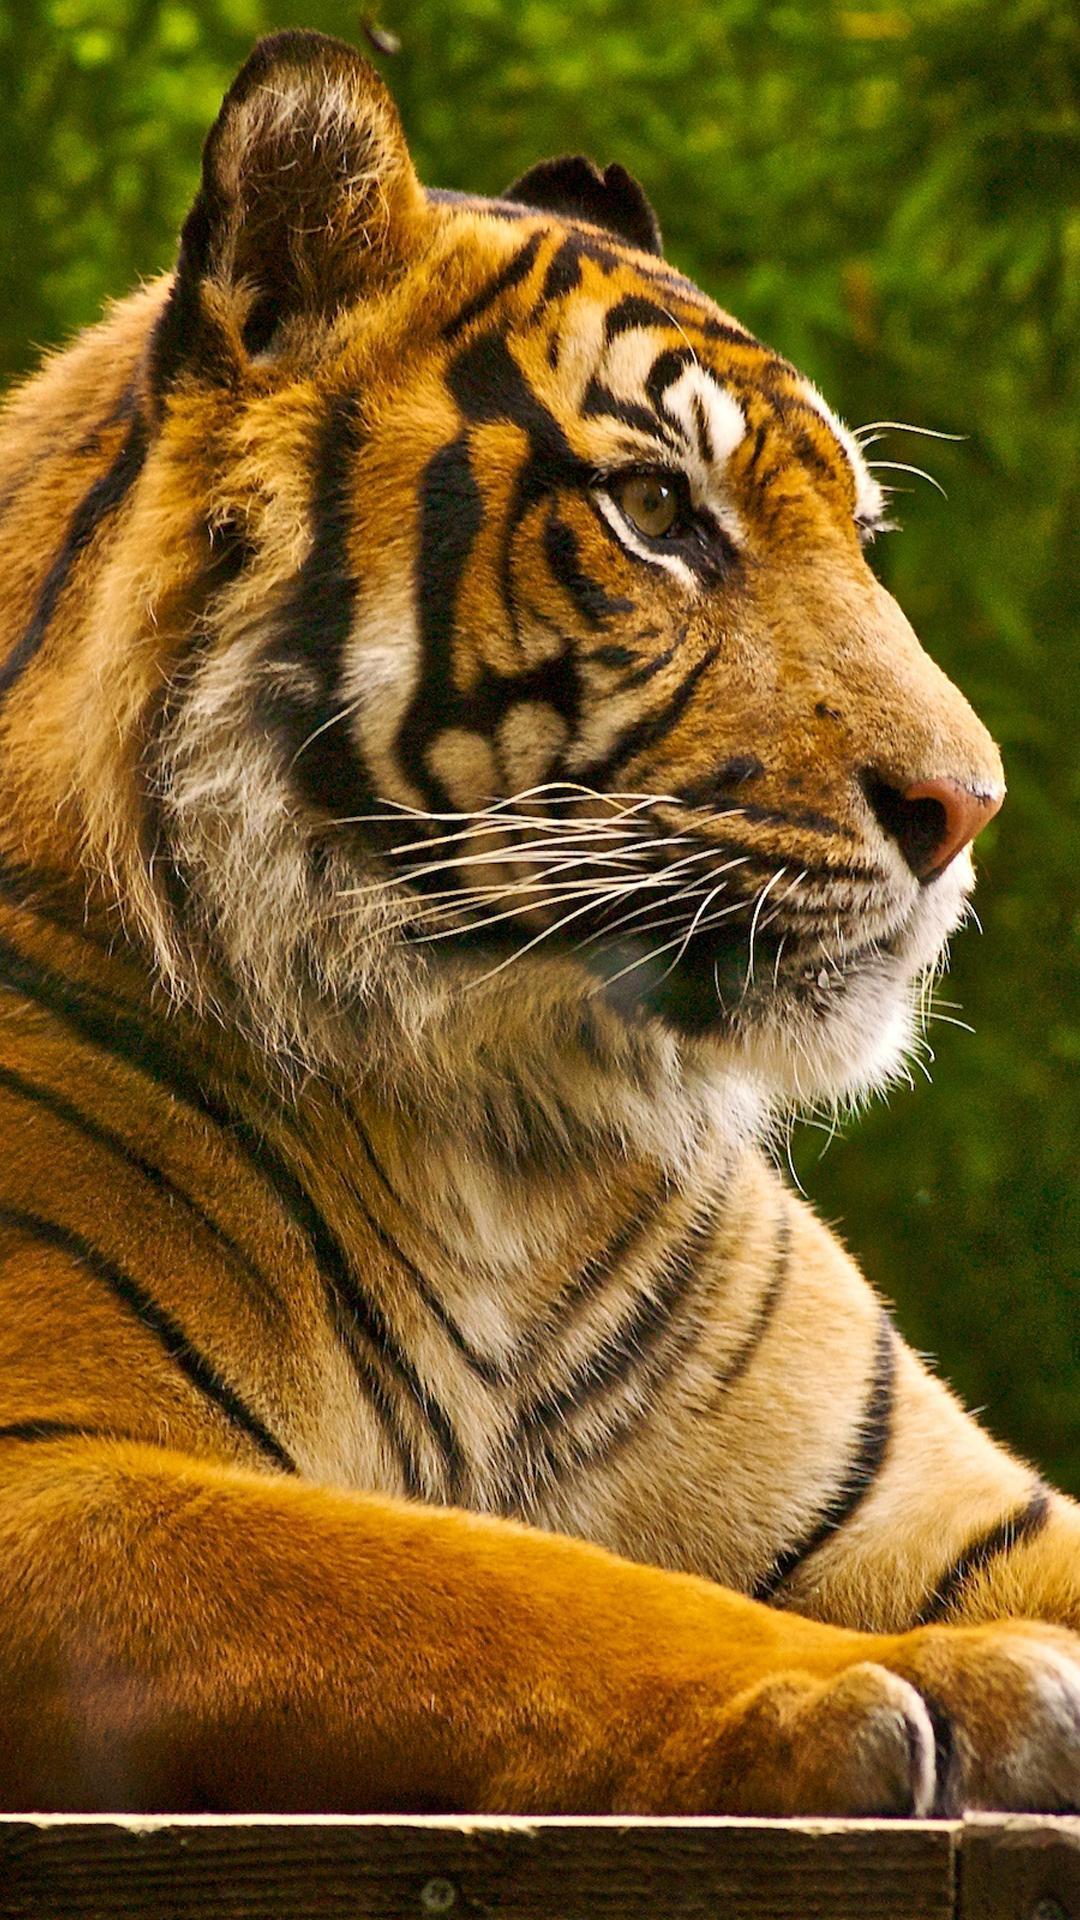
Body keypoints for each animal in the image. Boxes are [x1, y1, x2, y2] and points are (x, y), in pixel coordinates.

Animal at [0, 27, 1076, 1818]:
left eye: (859, 538)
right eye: (657, 510)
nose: (966, 807)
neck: (504, 1132)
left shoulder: (948, 1503)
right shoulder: (53, 1469)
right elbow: (497, 1585)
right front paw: (903, 1681)